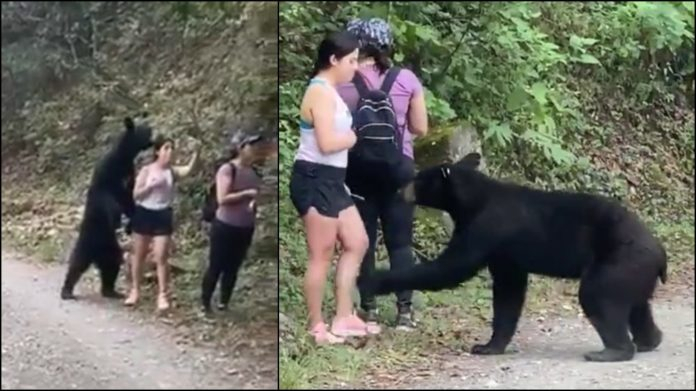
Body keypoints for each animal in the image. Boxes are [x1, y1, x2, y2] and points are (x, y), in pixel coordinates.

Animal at [60, 115, 154, 300]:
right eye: (145, 130)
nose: (154, 136)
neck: (123, 157)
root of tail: (98, 252)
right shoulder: (107, 172)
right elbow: (106, 197)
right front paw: (118, 218)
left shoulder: (129, 175)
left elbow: (129, 199)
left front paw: (130, 224)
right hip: (88, 240)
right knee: (77, 263)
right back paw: (67, 291)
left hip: (111, 249)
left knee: (112, 265)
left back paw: (111, 291)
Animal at [358, 153, 668, 364]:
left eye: (419, 179)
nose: (400, 190)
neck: (472, 201)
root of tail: (660, 253)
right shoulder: (504, 252)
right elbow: (509, 291)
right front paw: (489, 346)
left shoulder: (485, 227)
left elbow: (452, 268)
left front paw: (374, 280)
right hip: (633, 270)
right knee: (637, 305)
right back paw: (649, 340)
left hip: (618, 261)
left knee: (598, 296)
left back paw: (612, 350)